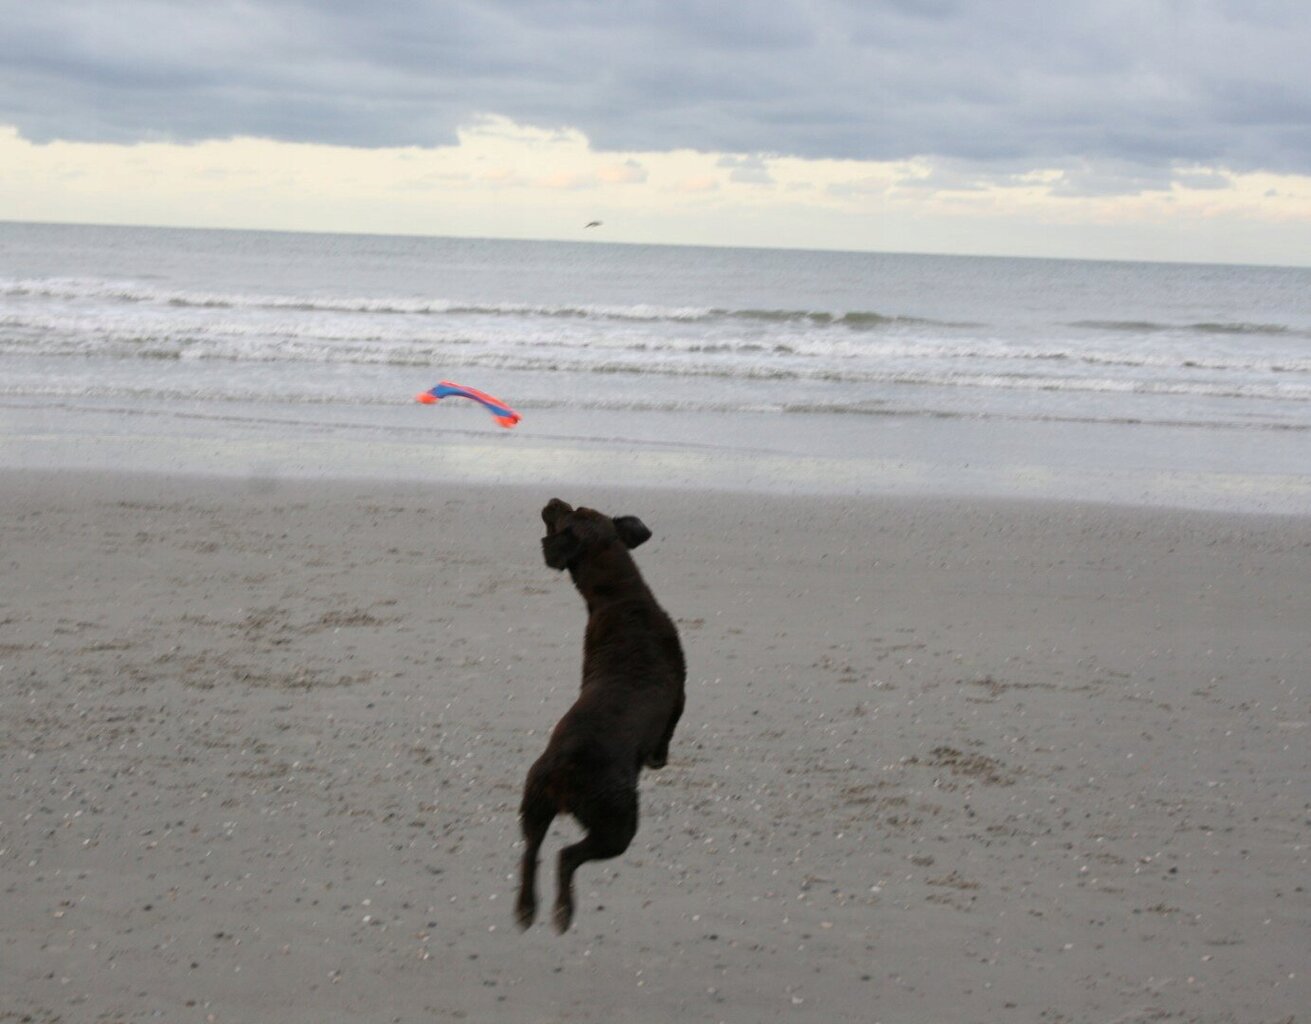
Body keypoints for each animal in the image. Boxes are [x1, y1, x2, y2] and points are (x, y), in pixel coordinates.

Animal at [516, 498, 692, 928]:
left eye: (573, 510)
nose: (551, 500)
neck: (621, 597)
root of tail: (562, 767)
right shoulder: (679, 698)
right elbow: (668, 733)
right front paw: (660, 760)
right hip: (617, 825)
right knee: (567, 856)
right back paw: (563, 911)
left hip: (534, 806)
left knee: (532, 851)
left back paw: (527, 907)